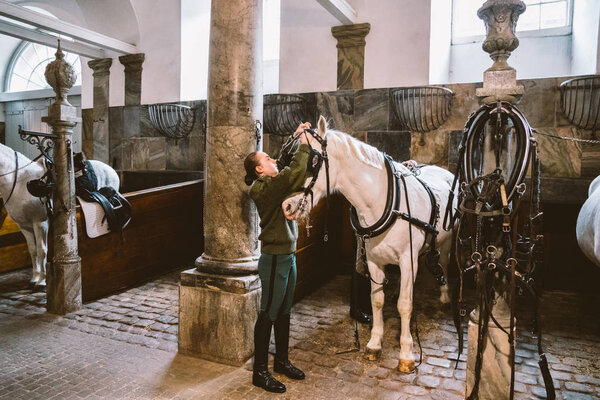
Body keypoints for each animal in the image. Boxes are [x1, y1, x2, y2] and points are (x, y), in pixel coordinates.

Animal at [0, 144, 119, 288]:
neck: (19, 182)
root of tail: (111, 169)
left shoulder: (40, 223)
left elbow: (42, 251)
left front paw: (42, 281)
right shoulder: (24, 226)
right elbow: (33, 251)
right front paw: (34, 278)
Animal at [282, 117, 454, 374]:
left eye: (312, 159)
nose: (286, 206)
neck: (384, 201)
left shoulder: (408, 260)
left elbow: (405, 305)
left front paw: (406, 354)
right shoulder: (373, 259)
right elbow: (377, 300)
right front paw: (374, 344)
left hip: (450, 240)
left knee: (445, 262)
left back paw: (445, 295)